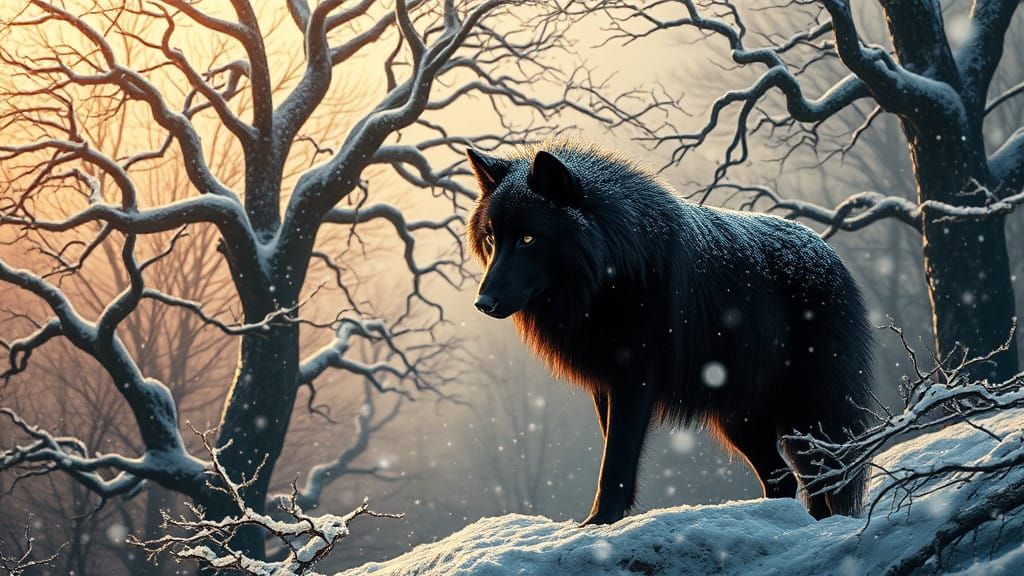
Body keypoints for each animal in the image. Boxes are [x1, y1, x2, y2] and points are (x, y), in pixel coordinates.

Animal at [465, 140, 873, 525]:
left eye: (528, 239)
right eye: (491, 239)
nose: (482, 302)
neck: (610, 275)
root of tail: (830, 253)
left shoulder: (634, 379)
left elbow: (615, 461)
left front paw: (599, 522)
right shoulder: (605, 385)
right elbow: (613, 452)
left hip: (808, 410)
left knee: (826, 473)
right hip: (740, 418)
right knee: (787, 476)